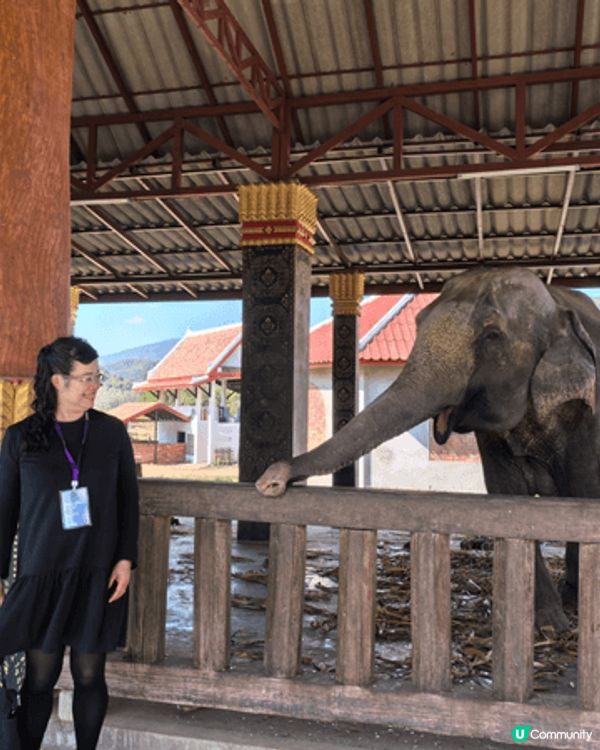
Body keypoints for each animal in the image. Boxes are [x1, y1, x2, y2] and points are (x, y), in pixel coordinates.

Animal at [256, 266, 600, 631]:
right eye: (419, 322)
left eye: (492, 336)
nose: (270, 481)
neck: (556, 304)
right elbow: (508, 496)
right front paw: (548, 623)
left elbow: (584, 490)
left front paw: (564, 617)